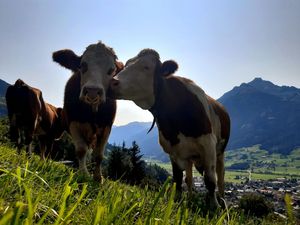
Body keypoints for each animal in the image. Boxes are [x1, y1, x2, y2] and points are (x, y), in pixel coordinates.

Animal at [52, 41, 123, 182]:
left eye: (112, 70)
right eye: (83, 65)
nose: (92, 91)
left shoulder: (107, 125)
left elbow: (99, 154)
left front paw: (98, 177)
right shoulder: (73, 122)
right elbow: (81, 150)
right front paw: (83, 174)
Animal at [109, 48, 231, 209]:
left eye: (146, 67)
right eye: (126, 65)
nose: (112, 81)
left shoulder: (208, 144)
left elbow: (211, 180)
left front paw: (214, 207)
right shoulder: (173, 150)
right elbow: (178, 179)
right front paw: (177, 202)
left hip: (220, 152)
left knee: (221, 177)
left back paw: (223, 203)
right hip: (190, 156)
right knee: (189, 179)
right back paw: (190, 199)